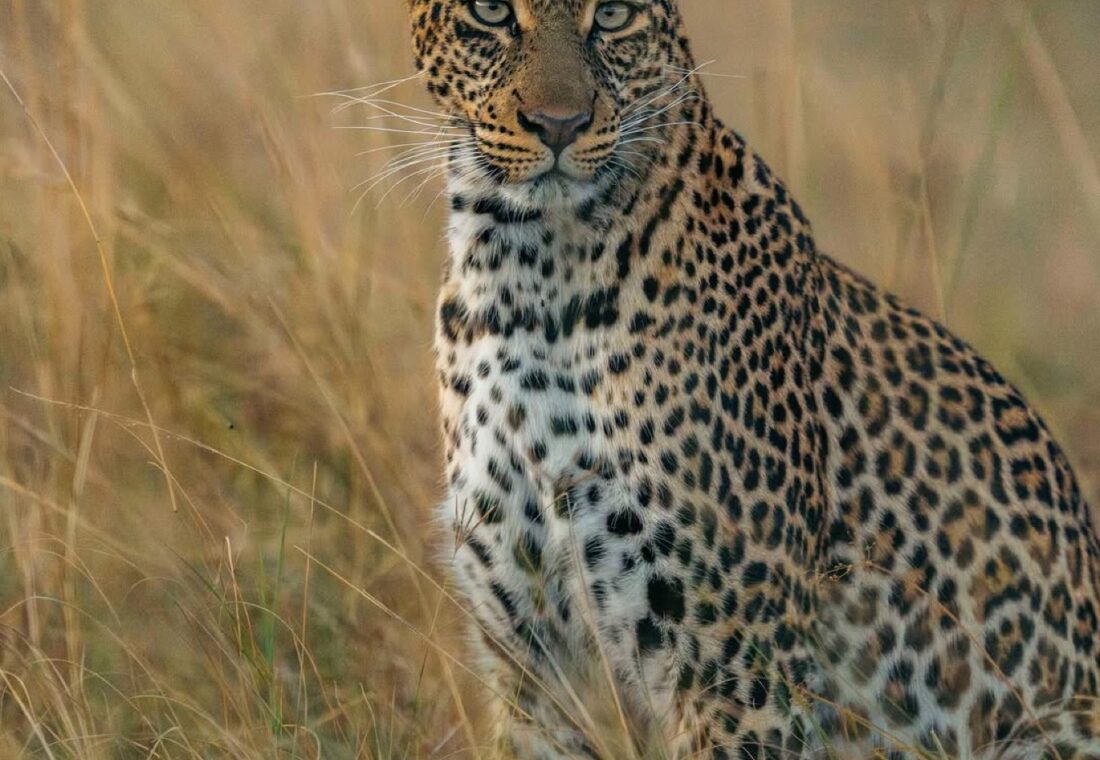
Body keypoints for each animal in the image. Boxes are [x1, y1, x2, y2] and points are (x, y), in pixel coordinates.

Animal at [401, 0, 1100, 757]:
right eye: (490, 12)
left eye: (612, 16)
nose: (559, 124)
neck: (523, 282)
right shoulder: (534, 669)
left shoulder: (738, 668)